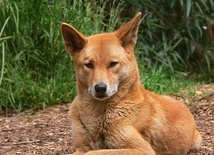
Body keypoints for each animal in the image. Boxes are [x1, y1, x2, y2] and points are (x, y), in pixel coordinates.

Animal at [61, 12, 201, 155]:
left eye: (113, 63)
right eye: (89, 65)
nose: (100, 88)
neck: (99, 115)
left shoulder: (142, 149)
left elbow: (94, 152)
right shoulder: (81, 147)